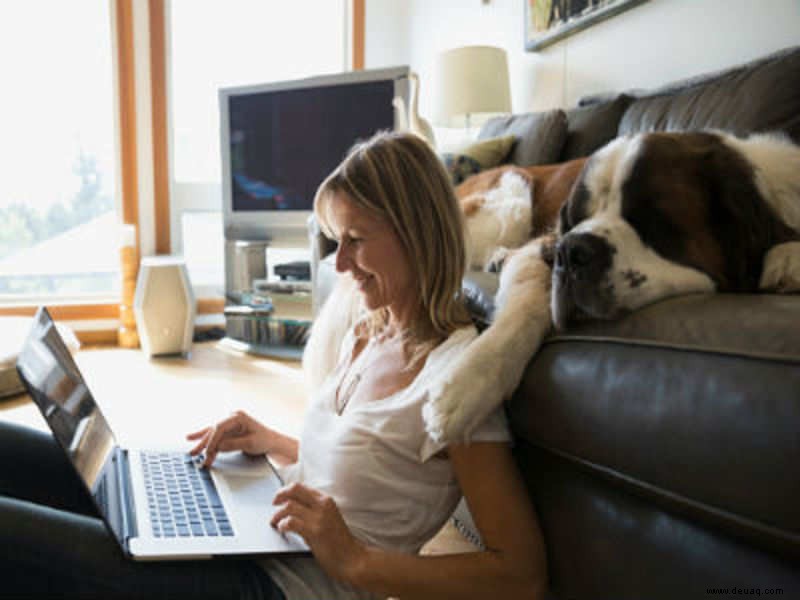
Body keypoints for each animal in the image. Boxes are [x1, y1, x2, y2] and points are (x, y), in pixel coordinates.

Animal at [424, 130, 800, 440]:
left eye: (650, 220)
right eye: (574, 220)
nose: (570, 251)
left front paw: (787, 258)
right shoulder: (540, 246)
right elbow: (525, 310)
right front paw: (465, 387)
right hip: (511, 199)